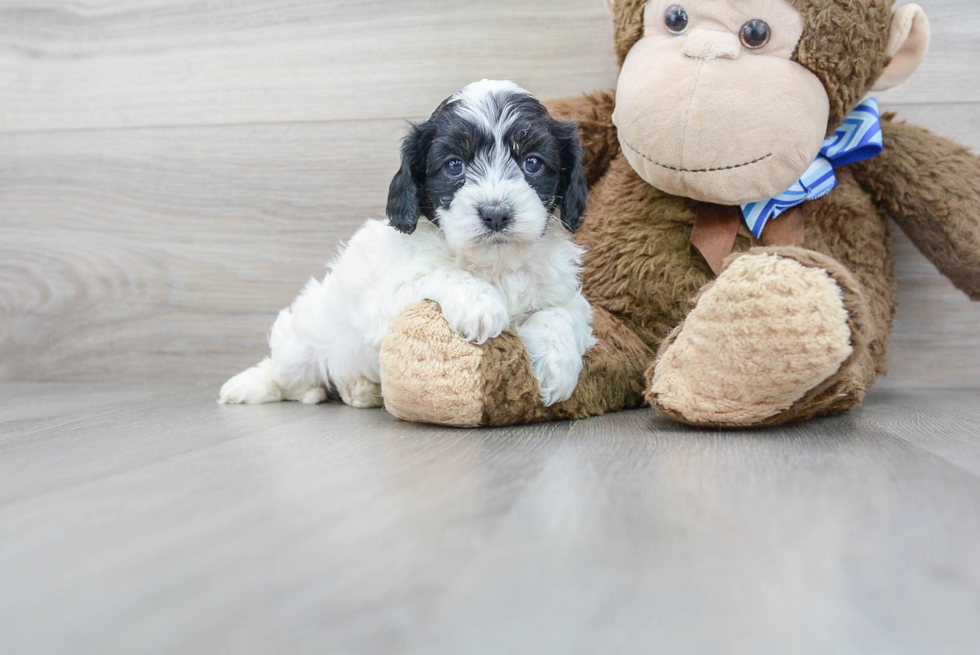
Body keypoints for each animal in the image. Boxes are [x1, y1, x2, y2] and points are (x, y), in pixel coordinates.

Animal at [218, 80, 592, 410]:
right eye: (454, 166)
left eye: (533, 163)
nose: (495, 214)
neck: (492, 263)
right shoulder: (386, 301)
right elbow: (439, 274)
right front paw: (481, 303)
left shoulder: (564, 294)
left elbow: (562, 312)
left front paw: (557, 367)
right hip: (301, 343)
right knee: (287, 375)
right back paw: (266, 387)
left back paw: (361, 390)